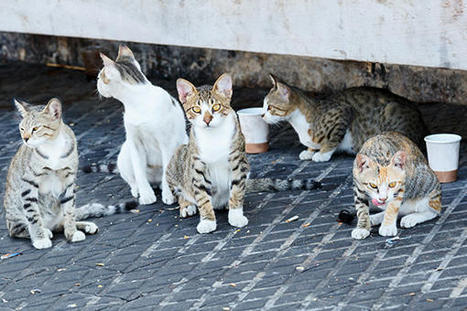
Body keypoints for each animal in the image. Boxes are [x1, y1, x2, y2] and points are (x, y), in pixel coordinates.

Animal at [97, 45, 188, 206]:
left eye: (101, 76)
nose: (96, 81)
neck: (138, 101)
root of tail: (155, 180)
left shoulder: (166, 143)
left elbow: (167, 169)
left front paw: (168, 195)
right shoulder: (135, 142)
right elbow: (139, 172)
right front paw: (146, 195)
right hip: (125, 153)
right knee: (132, 179)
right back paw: (137, 189)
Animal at [264, 75, 428, 162]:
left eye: (270, 107)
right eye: (264, 106)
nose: (262, 115)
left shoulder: (342, 113)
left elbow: (333, 139)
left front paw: (322, 154)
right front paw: (309, 150)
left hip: (390, 112)